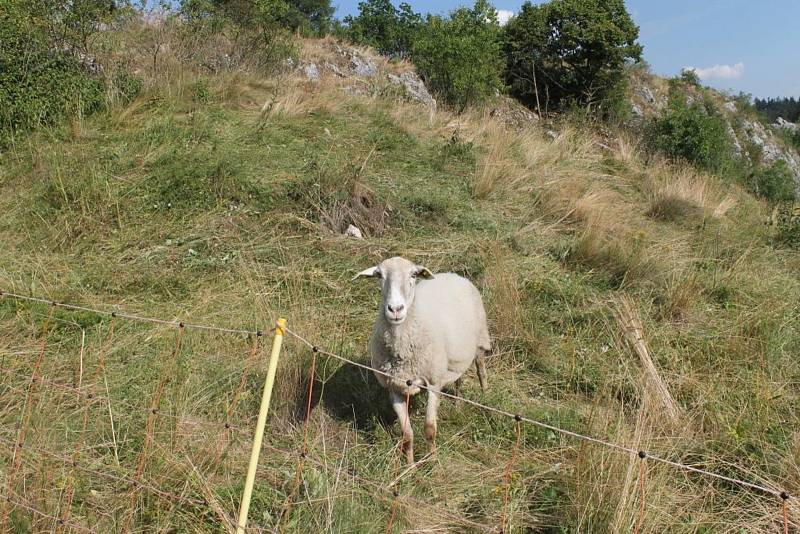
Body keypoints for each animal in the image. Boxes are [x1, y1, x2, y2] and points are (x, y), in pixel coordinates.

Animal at [354, 256, 490, 464]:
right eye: (379, 275)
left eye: (413, 275)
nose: (395, 309)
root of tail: (453, 274)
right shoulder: (395, 387)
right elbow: (406, 433)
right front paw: (410, 466)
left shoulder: (433, 382)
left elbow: (430, 428)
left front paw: (432, 462)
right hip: (456, 355)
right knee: (459, 378)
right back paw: (458, 404)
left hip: (480, 339)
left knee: (480, 369)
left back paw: (485, 396)